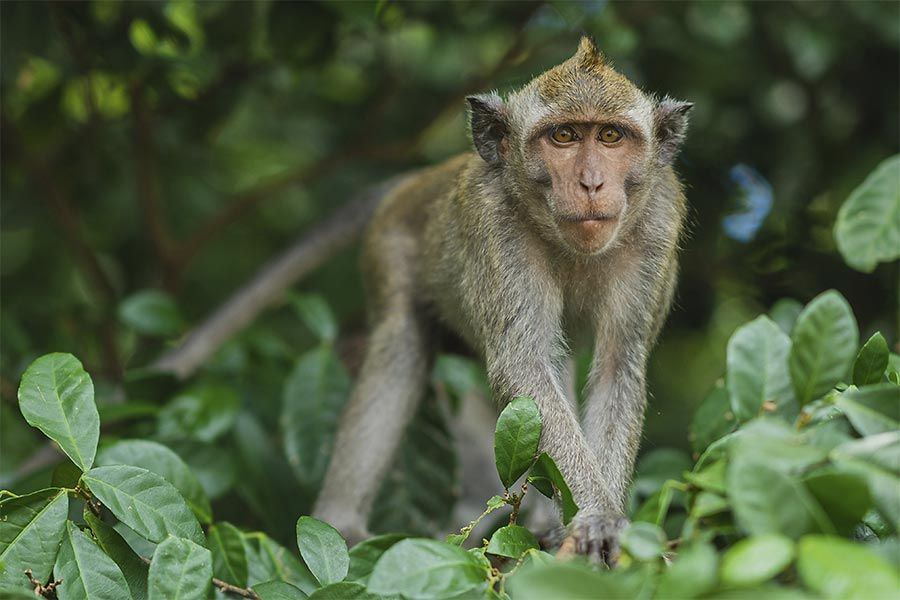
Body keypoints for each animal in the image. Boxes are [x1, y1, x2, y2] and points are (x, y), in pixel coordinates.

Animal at [312, 36, 692, 564]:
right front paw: (598, 516)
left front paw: (602, 524)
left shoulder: (658, 219)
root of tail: (421, 179)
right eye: (564, 136)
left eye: (611, 136)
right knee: (400, 350)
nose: (591, 183)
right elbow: (524, 365)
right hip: (388, 248)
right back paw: (341, 525)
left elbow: (617, 367)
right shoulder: (496, 224)